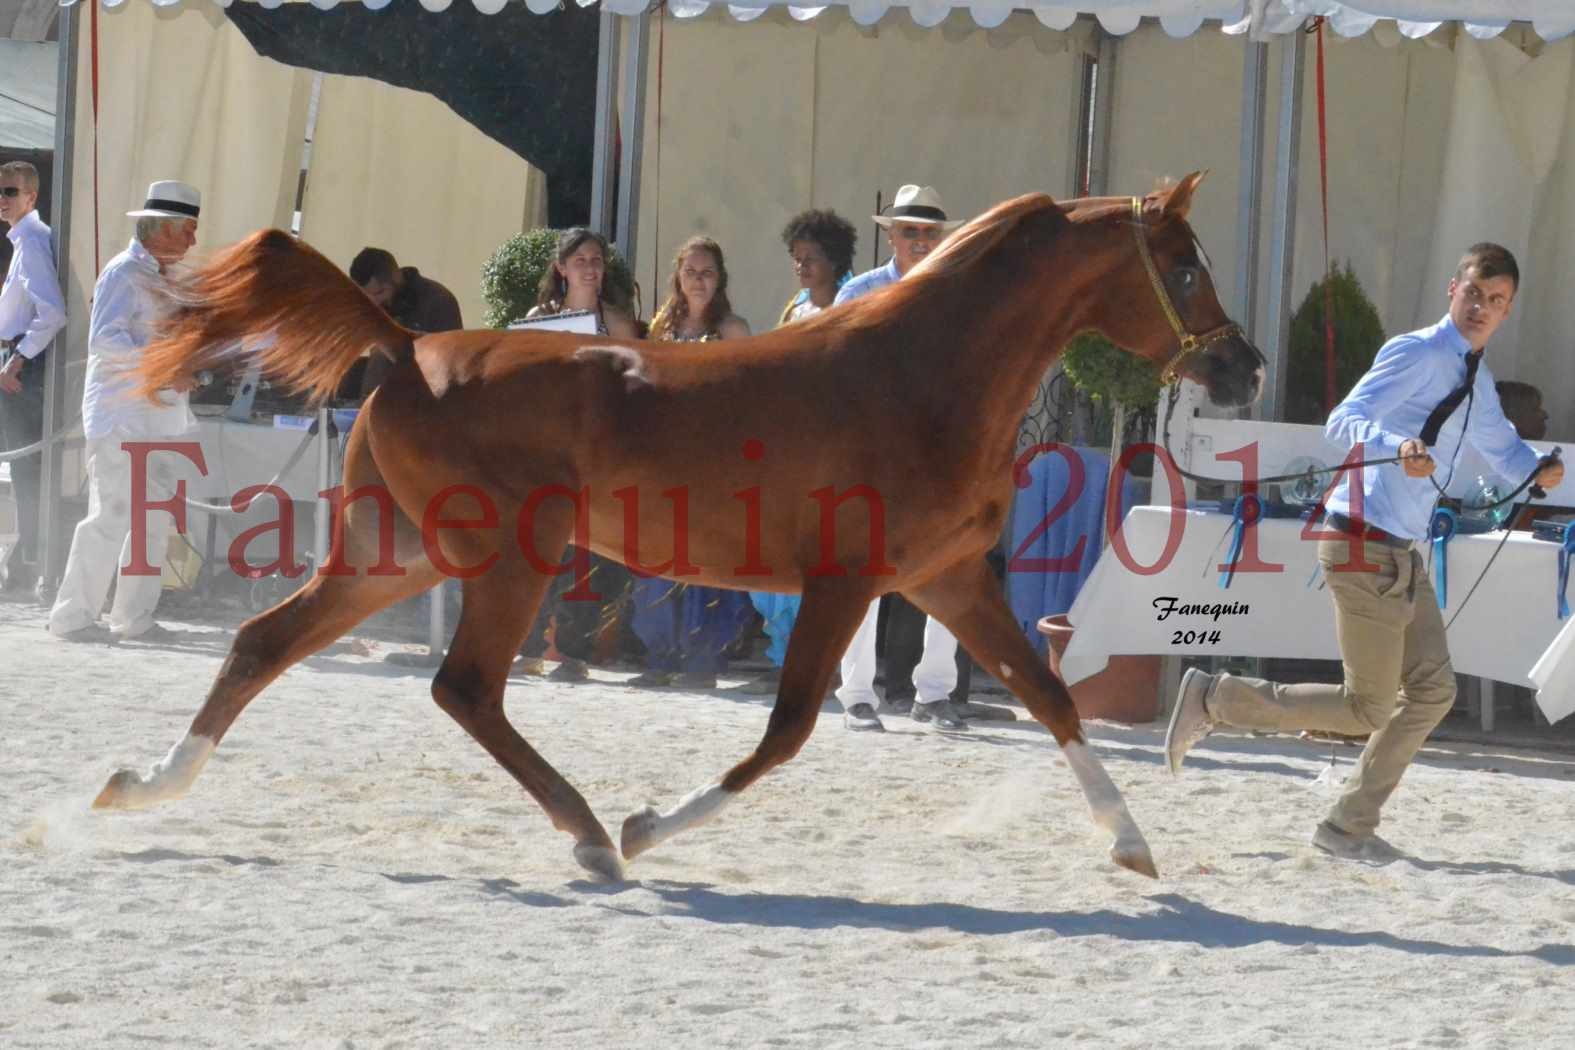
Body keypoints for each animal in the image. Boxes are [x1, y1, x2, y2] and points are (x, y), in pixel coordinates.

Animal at [92, 176, 1260, 881]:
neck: (920, 373)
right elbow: (786, 731)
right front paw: (651, 824)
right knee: (461, 687)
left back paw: (142, 786)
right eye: (1184, 264)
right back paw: (592, 835)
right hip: (509, 559)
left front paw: (1134, 845)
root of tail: (409, 349)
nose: (1242, 368)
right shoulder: (844, 584)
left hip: (397, 554)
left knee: (264, 642)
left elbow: (1050, 697)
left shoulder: (950, 581)